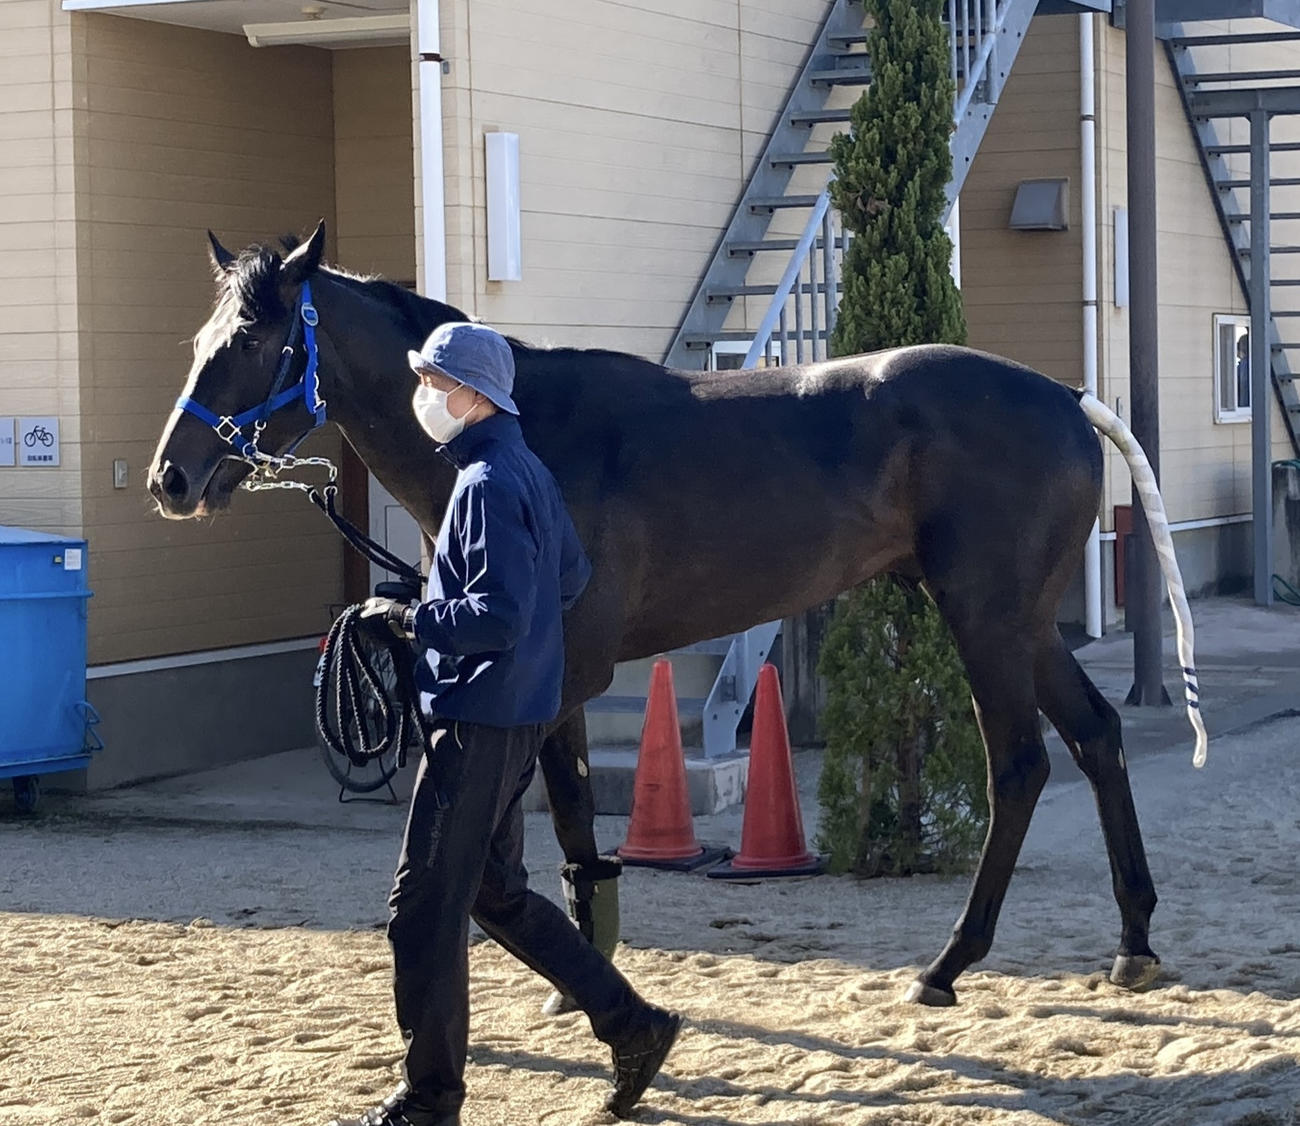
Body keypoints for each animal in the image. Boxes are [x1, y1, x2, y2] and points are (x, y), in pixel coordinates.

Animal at [148, 220, 1205, 1006]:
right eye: (199, 342)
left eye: (252, 342)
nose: (172, 478)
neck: (528, 436)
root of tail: (1067, 396)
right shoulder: (557, 683)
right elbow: (574, 821)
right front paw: (579, 969)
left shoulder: (567, 671)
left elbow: (555, 816)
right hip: (1026, 622)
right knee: (1096, 736)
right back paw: (1133, 943)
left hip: (985, 617)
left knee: (1020, 765)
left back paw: (948, 964)